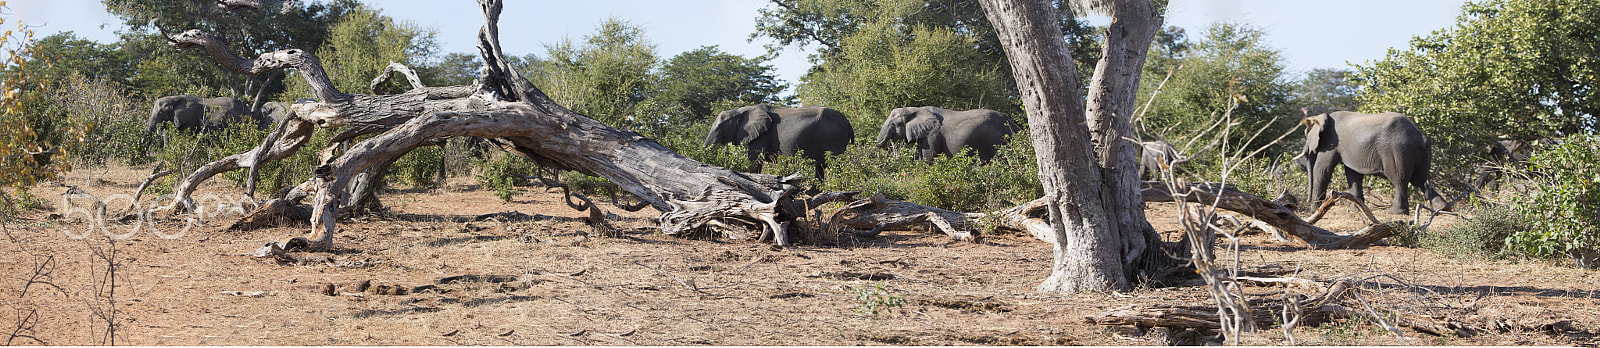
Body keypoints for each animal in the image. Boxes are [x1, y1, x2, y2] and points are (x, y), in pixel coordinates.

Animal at [700, 103, 851, 181]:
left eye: (722, 126)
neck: (741, 110)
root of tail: (848, 123)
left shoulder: (762, 135)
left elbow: (754, 161)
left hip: (834, 138)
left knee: (836, 166)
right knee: (819, 167)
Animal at [1299, 111, 1452, 215]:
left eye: (1306, 134)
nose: (1307, 202)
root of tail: (1420, 135)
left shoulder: (1331, 143)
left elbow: (1322, 169)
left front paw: (1315, 210)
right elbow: (1353, 175)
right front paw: (1357, 210)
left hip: (1397, 150)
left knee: (1399, 179)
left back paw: (1394, 213)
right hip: (1422, 151)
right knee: (1421, 180)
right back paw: (1442, 208)